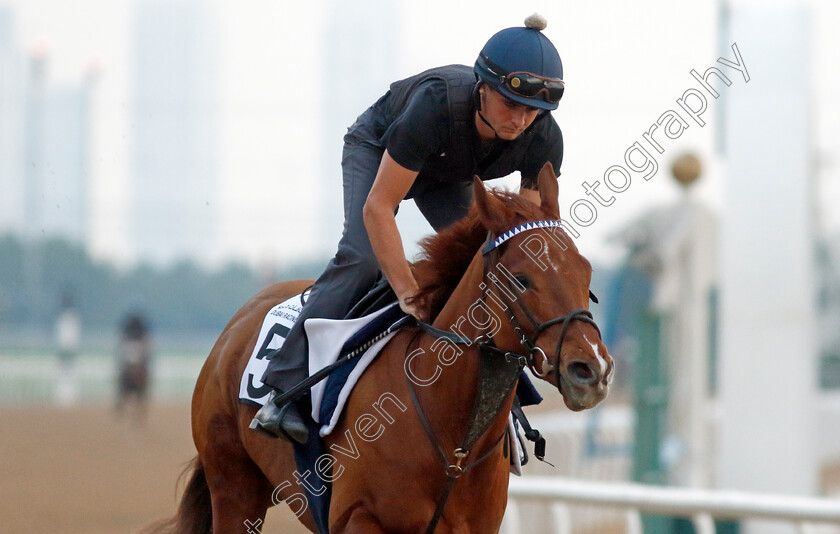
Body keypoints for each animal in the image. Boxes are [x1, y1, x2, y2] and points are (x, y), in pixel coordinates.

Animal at [149, 163, 612, 534]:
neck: (452, 439)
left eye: (586, 272)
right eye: (520, 279)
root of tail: (238, 320)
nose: (593, 370)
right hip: (233, 484)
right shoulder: (359, 519)